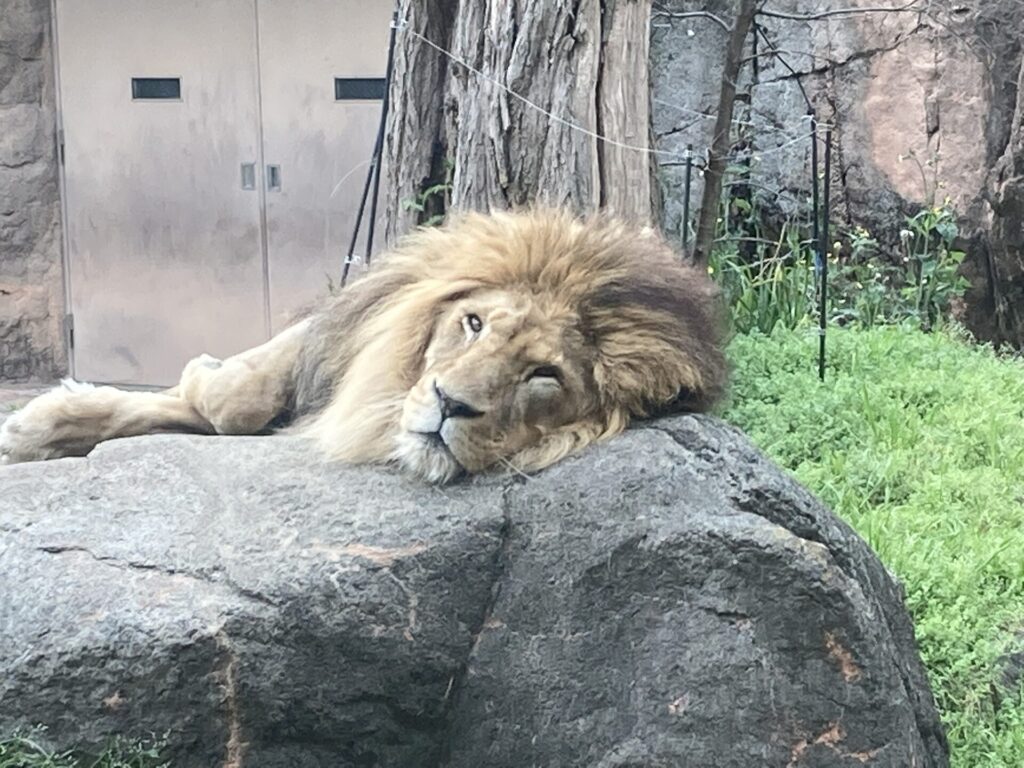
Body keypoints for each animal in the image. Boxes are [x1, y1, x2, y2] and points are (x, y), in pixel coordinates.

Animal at [0, 207, 729, 483]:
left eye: (544, 375)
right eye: (473, 324)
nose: (450, 404)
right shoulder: (342, 330)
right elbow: (236, 398)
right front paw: (38, 428)